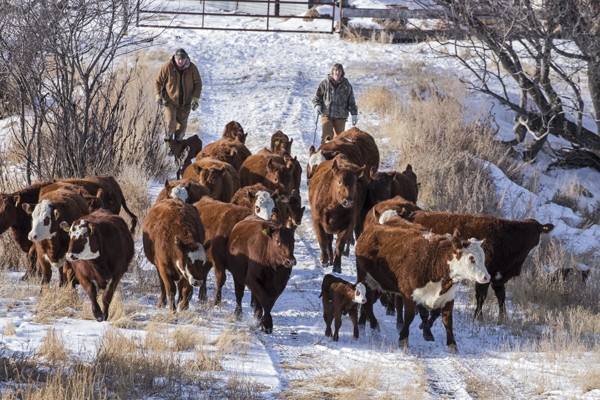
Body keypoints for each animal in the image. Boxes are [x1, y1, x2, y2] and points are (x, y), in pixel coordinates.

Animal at [354, 219, 490, 350]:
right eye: (471, 258)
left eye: (483, 257)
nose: (486, 277)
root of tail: (370, 231)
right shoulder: (409, 294)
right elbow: (409, 317)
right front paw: (403, 339)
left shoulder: (447, 297)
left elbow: (446, 320)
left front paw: (452, 345)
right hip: (366, 279)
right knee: (367, 304)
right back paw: (373, 325)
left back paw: (362, 324)